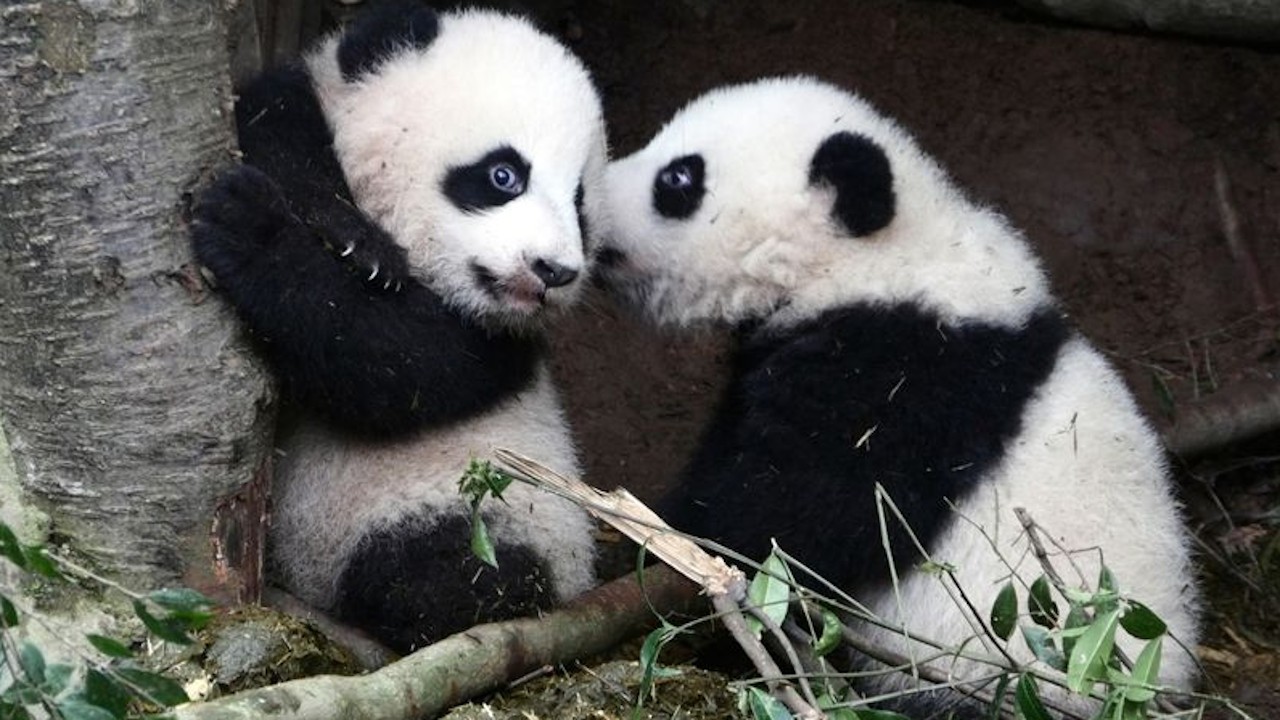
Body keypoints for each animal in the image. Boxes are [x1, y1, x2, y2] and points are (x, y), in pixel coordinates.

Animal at [191, 1, 606, 653]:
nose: (556, 270)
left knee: (459, 572)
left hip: (493, 510)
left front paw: (252, 230)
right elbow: (268, 118)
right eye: (504, 176)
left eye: (580, 203)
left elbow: (393, 364)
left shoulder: (500, 344)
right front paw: (349, 234)